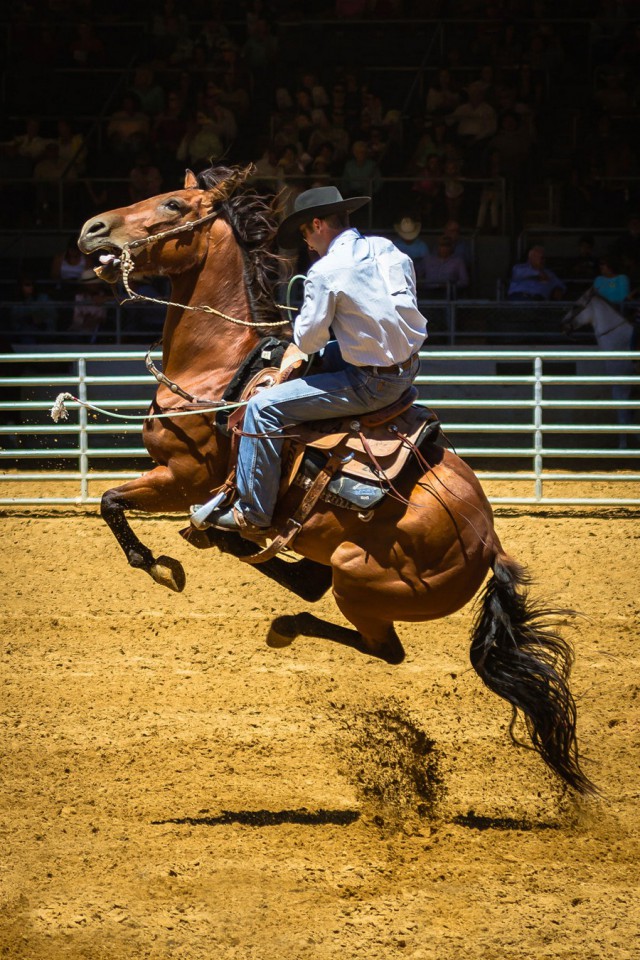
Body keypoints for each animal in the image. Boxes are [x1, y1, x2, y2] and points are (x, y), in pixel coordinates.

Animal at [79, 165, 596, 796]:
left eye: (174, 204)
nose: (92, 228)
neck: (219, 368)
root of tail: (489, 546)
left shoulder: (182, 477)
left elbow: (110, 501)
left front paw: (159, 566)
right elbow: (126, 507)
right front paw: (187, 550)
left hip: (358, 577)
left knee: (382, 646)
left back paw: (285, 622)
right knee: (324, 596)